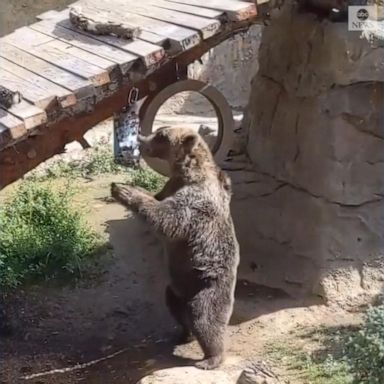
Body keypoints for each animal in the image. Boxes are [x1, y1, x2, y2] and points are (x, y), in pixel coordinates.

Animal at [109, 126, 238, 368]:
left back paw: (210, 358)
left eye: (161, 135)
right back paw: (183, 334)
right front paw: (122, 186)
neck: (187, 173)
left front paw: (124, 191)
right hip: (178, 287)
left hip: (207, 287)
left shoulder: (194, 202)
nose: (141, 137)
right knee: (175, 306)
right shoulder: (170, 186)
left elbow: (166, 218)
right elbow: (157, 198)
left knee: (206, 318)